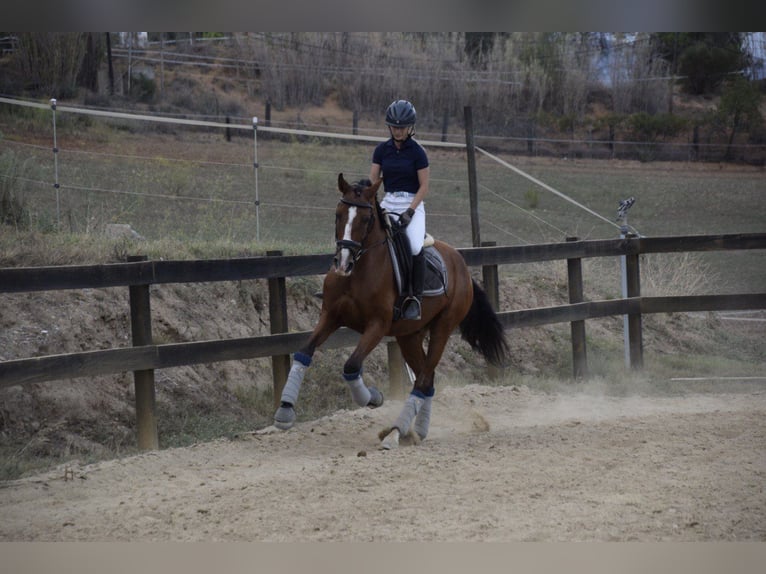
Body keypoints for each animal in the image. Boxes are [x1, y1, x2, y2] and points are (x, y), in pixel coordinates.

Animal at [274, 173, 509, 449]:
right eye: (338, 214)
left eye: (366, 219)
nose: (343, 263)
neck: (358, 269)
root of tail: (460, 264)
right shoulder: (331, 316)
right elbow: (304, 352)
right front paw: (285, 411)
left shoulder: (377, 325)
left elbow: (351, 366)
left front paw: (373, 397)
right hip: (409, 336)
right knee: (427, 380)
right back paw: (416, 431)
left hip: (442, 329)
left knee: (423, 378)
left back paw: (396, 432)